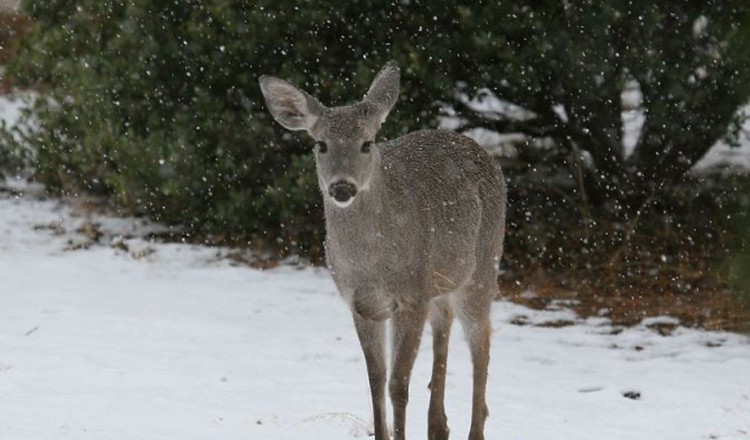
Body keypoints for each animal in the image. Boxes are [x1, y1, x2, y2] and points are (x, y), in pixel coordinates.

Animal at [260, 61, 512, 440]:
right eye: (321, 144)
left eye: (367, 143)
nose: (342, 187)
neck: (371, 264)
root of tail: (482, 150)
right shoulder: (363, 304)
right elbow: (376, 381)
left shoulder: (410, 296)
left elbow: (398, 385)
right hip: (439, 279)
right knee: (444, 323)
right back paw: (438, 426)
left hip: (483, 264)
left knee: (480, 341)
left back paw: (473, 430)